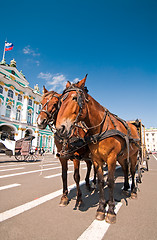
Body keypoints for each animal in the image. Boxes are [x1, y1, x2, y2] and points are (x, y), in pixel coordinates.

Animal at [55, 75, 140, 223]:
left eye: (74, 98)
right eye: (61, 101)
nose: (60, 128)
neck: (99, 130)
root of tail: (133, 125)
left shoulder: (111, 158)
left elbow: (110, 182)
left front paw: (110, 211)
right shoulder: (96, 159)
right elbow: (101, 182)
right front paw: (101, 208)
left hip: (133, 156)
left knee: (133, 171)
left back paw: (133, 191)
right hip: (122, 157)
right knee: (125, 170)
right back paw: (125, 187)